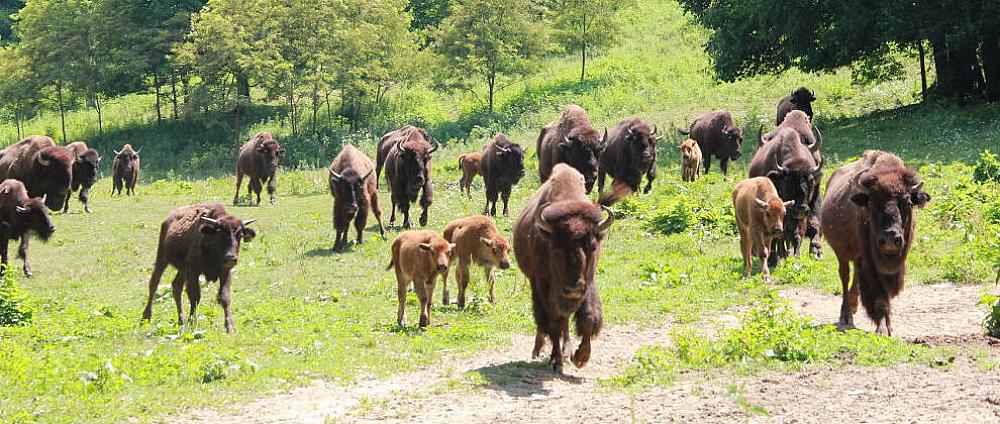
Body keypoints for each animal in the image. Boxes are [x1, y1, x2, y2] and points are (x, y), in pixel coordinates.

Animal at [141, 203, 257, 333]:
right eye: (220, 234)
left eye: (240, 235)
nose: (231, 258)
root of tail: (168, 220)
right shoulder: (193, 271)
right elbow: (195, 296)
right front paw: (192, 323)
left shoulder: (225, 272)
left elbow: (224, 297)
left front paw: (230, 327)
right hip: (162, 258)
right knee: (154, 284)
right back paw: (145, 318)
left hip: (182, 269)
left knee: (176, 287)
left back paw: (181, 321)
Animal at [513, 163, 614, 373]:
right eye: (555, 247)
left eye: (593, 246)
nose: (573, 288)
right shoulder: (543, 286)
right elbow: (553, 322)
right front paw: (556, 361)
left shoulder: (588, 283)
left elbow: (588, 317)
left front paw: (581, 357)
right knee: (546, 321)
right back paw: (539, 350)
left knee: (564, 321)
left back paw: (567, 351)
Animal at [749, 126, 822, 266]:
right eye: (788, 181)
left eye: (811, 181)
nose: (801, 209)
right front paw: (774, 260)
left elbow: (798, 234)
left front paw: (798, 255)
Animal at [759, 110, 825, 257]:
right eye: (788, 182)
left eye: (811, 182)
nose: (800, 208)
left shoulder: (814, 198)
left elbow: (814, 223)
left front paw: (816, 251)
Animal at [821, 151, 930, 336]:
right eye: (871, 203)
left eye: (908, 202)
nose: (890, 238)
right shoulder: (870, 263)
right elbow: (879, 296)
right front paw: (883, 329)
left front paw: (888, 326)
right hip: (842, 253)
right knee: (845, 275)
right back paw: (846, 316)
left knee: (855, 276)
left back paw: (853, 307)